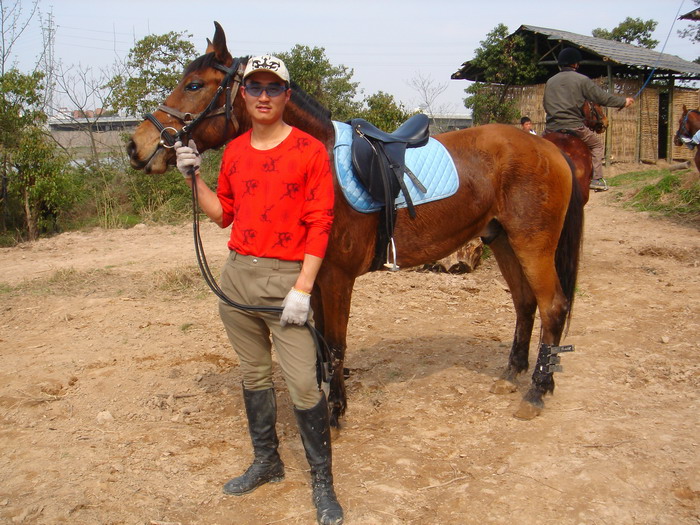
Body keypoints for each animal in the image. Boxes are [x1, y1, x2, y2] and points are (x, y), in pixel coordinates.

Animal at [127, 23, 584, 426]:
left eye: (194, 85)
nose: (136, 146)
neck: (320, 163)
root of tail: (549, 148)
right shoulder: (310, 279)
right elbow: (317, 346)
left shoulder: (336, 278)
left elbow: (335, 344)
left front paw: (334, 413)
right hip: (502, 240)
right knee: (524, 304)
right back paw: (511, 375)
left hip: (532, 243)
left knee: (552, 306)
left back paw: (536, 391)